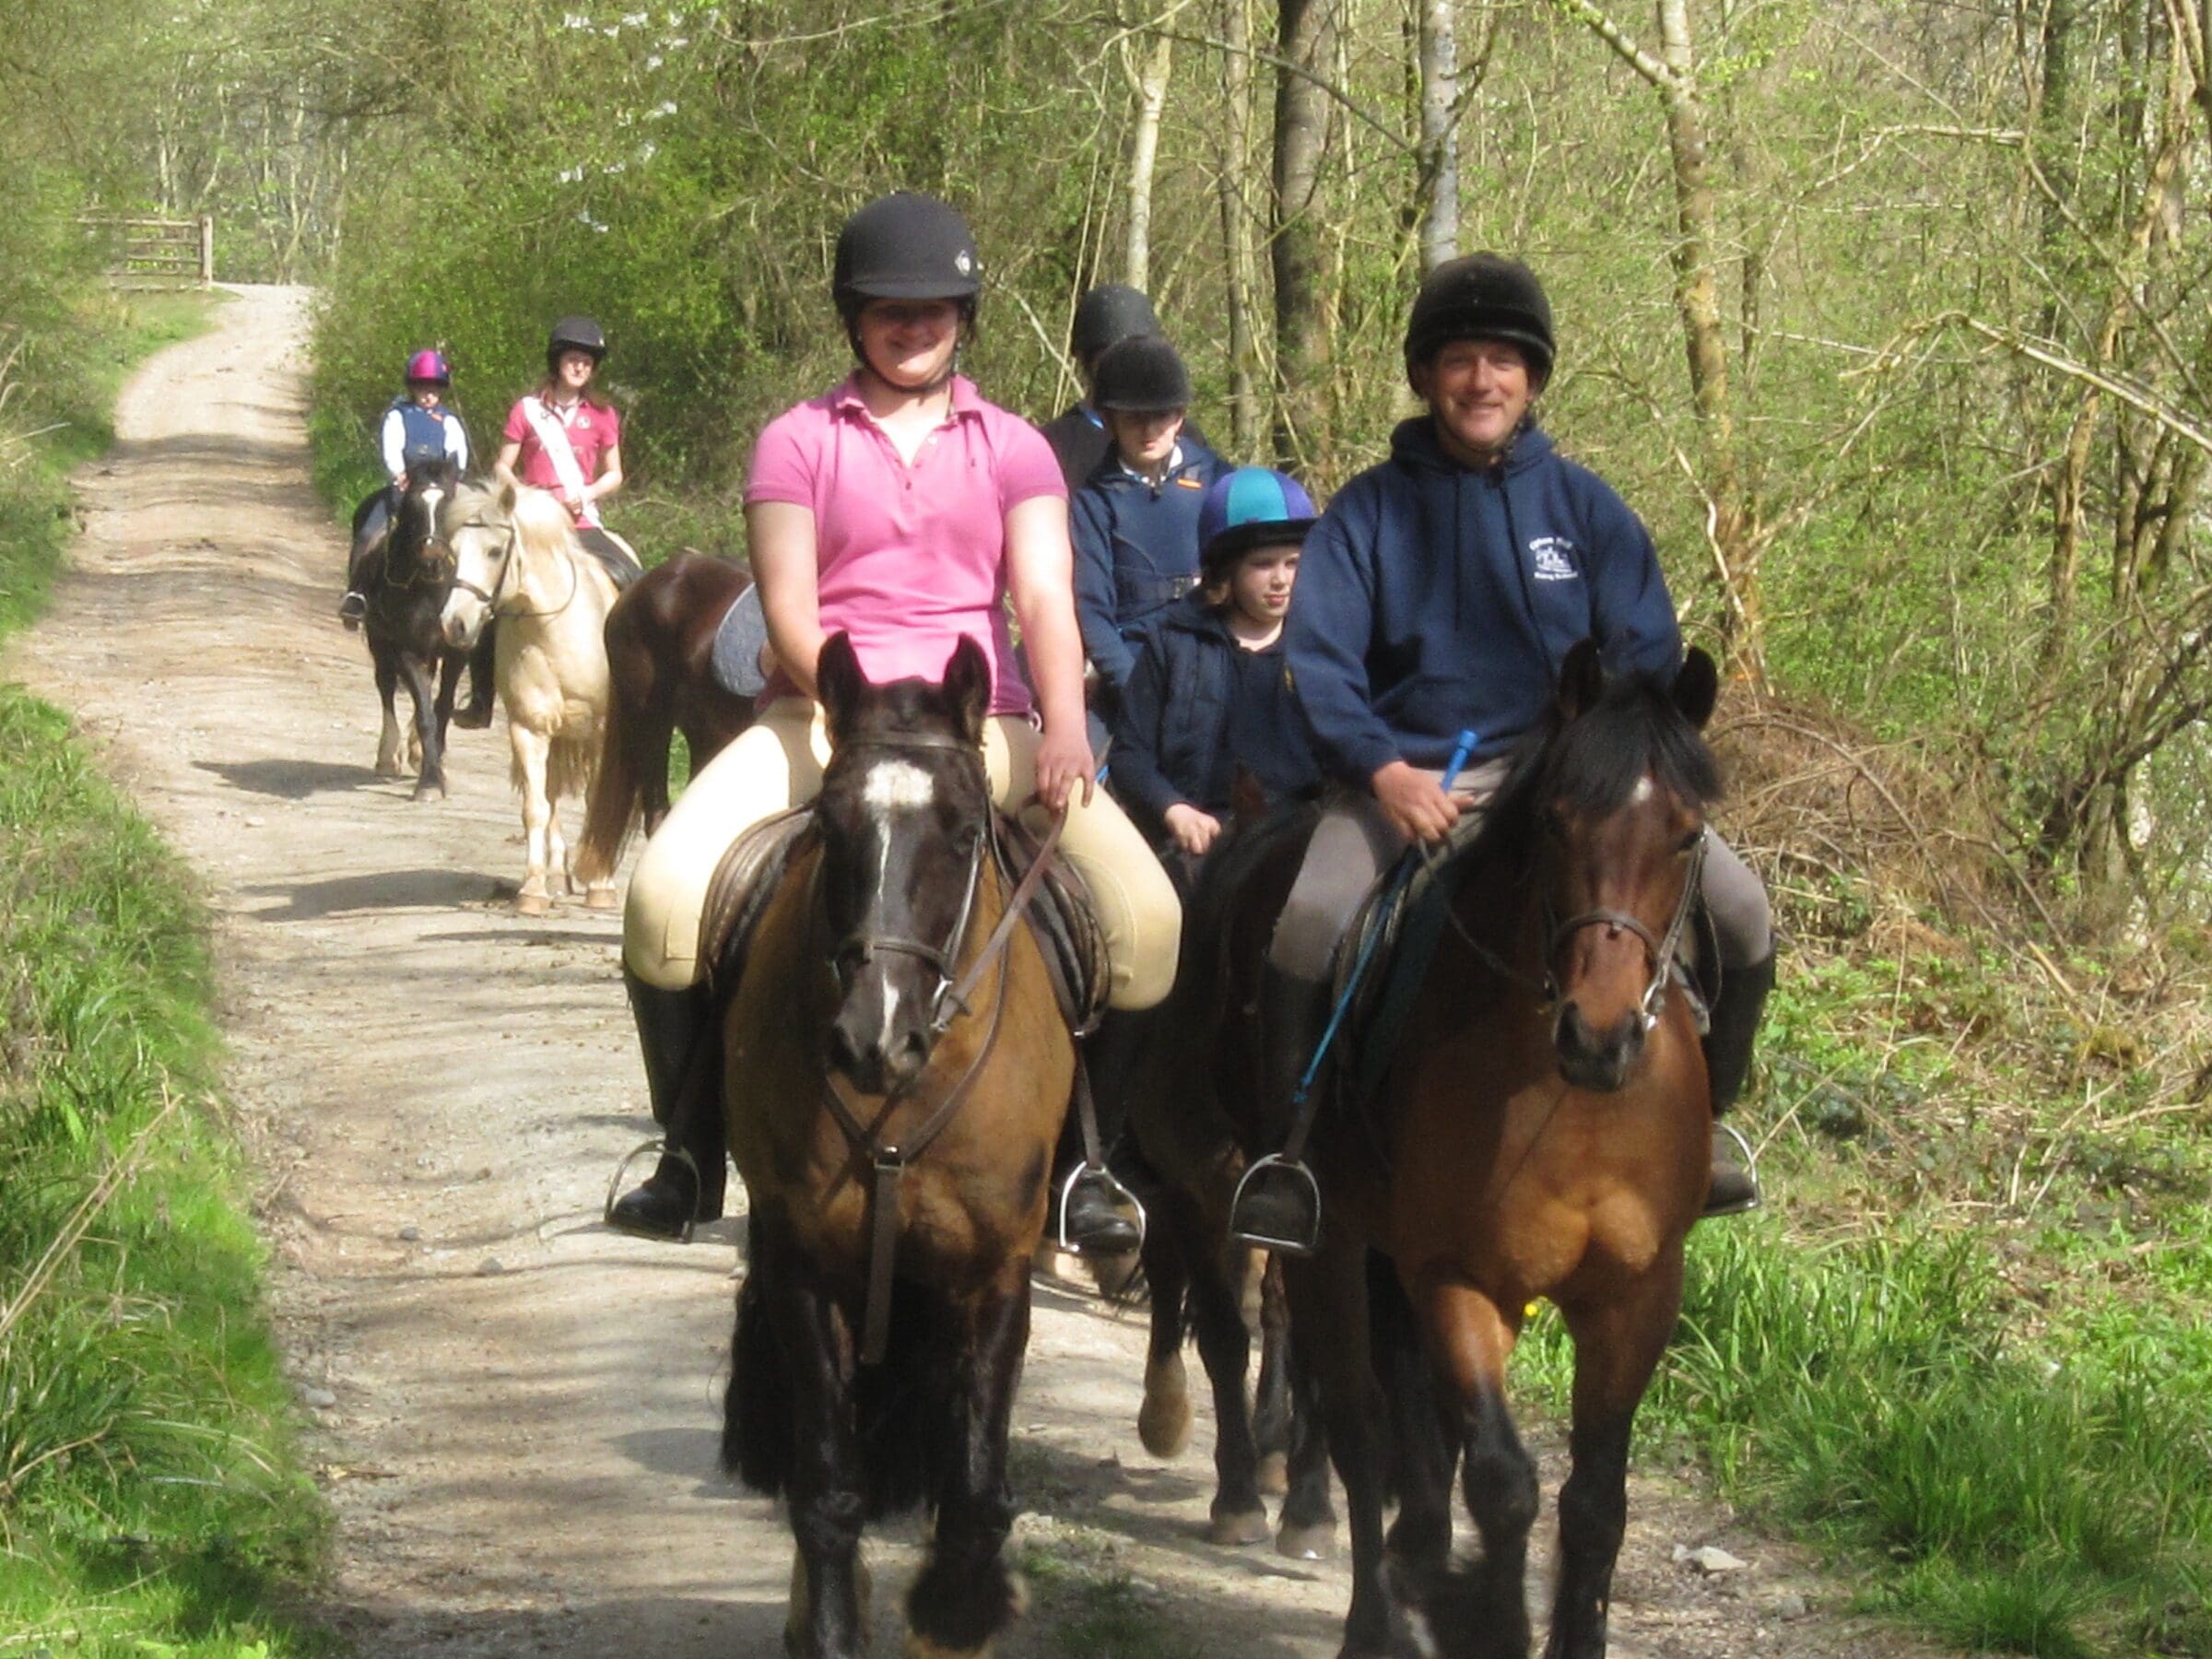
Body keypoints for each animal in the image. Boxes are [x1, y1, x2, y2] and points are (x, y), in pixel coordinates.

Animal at [358, 457, 471, 800]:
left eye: (450, 503)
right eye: (413, 505)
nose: (433, 557)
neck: (429, 589)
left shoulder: (455, 650)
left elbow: (442, 707)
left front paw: (434, 765)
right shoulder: (404, 648)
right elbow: (425, 713)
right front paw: (430, 782)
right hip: (380, 642)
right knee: (386, 689)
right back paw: (388, 756)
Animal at [438, 479, 623, 924]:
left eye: (494, 550)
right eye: (452, 552)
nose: (454, 624)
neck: (552, 626)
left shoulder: (602, 730)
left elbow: (599, 801)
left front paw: (601, 886)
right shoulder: (529, 728)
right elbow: (536, 807)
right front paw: (533, 891)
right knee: (550, 794)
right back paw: (557, 873)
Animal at [716, 632, 1070, 1659]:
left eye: (961, 832)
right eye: (832, 827)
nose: (872, 1038)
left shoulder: (995, 1272)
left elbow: (977, 1497)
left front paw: (956, 1613)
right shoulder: (806, 1269)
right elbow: (829, 1489)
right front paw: (835, 1628)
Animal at [1230, 645, 1725, 1659]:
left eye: (1686, 835)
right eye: (1556, 821)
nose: (1602, 1036)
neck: (1577, 1104)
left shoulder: (1637, 1293)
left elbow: (1595, 1505)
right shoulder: (1460, 1278)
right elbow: (1502, 1481)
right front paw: (1484, 1617)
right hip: (1333, 1250)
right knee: (1362, 1428)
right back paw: (1372, 1612)